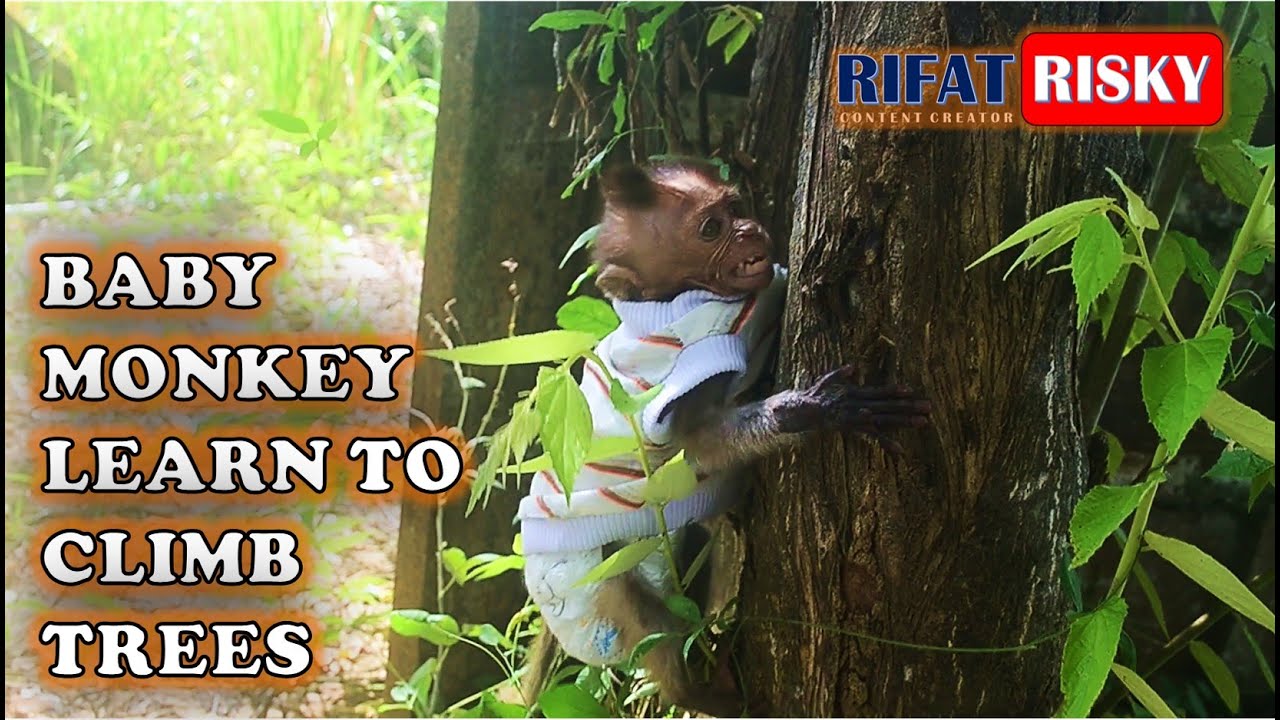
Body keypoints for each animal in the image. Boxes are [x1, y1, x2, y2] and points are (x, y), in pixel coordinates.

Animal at [516, 159, 930, 716]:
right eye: (711, 229)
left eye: (734, 208)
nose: (751, 229)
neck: (677, 299)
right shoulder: (696, 356)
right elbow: (702, 442)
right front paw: (819, 409)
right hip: (590, 581)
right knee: (657, 629)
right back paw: (705, 692)